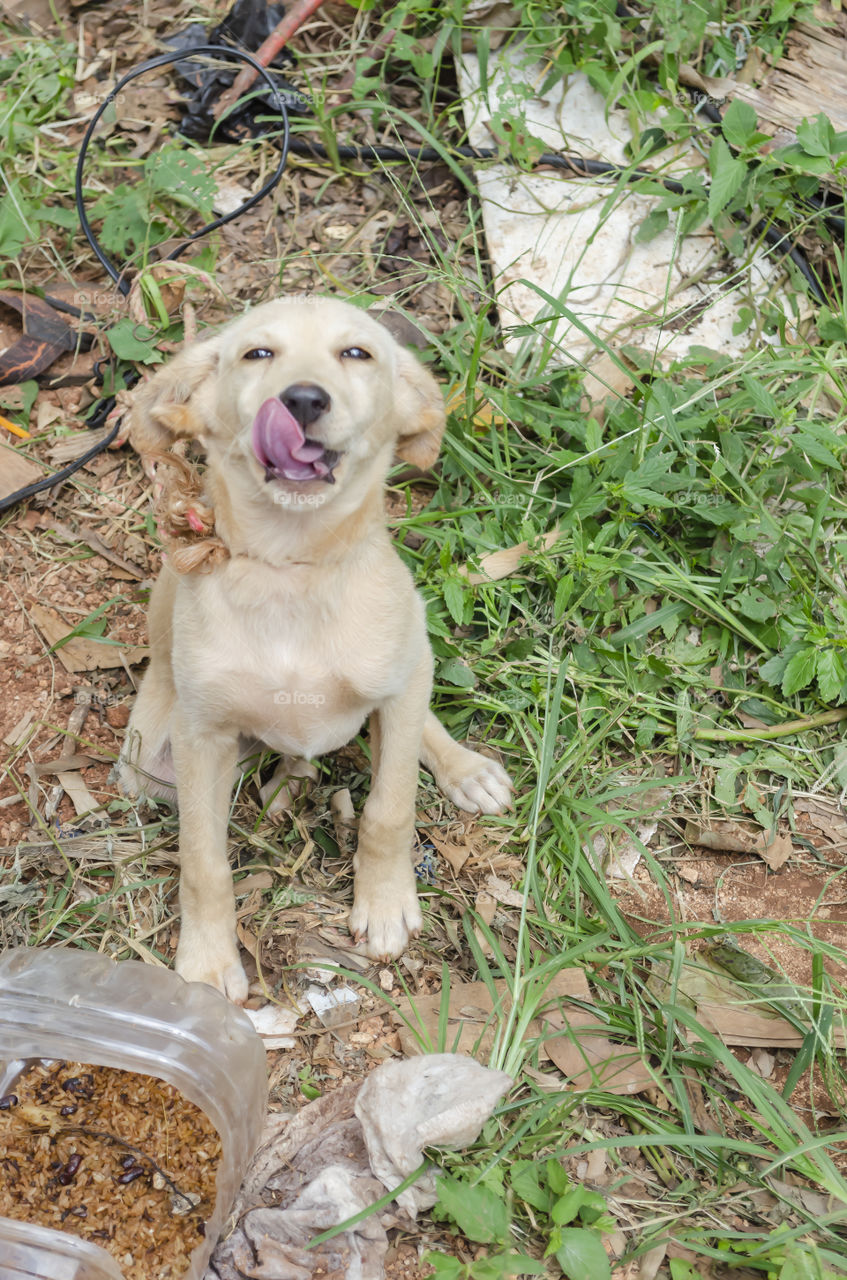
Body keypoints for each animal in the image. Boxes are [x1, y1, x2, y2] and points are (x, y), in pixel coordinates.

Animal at [116, 296, 514, 998]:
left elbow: (390, 809)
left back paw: (466, 770)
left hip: (409, 657)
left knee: (417, 709)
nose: (301, 400)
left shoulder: (396, 691)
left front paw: (384, 906)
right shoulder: (201, 737)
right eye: (257, 354)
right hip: (147, 763)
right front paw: (208, 961)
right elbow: (203, 862)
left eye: (357, 353)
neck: (291, 569)